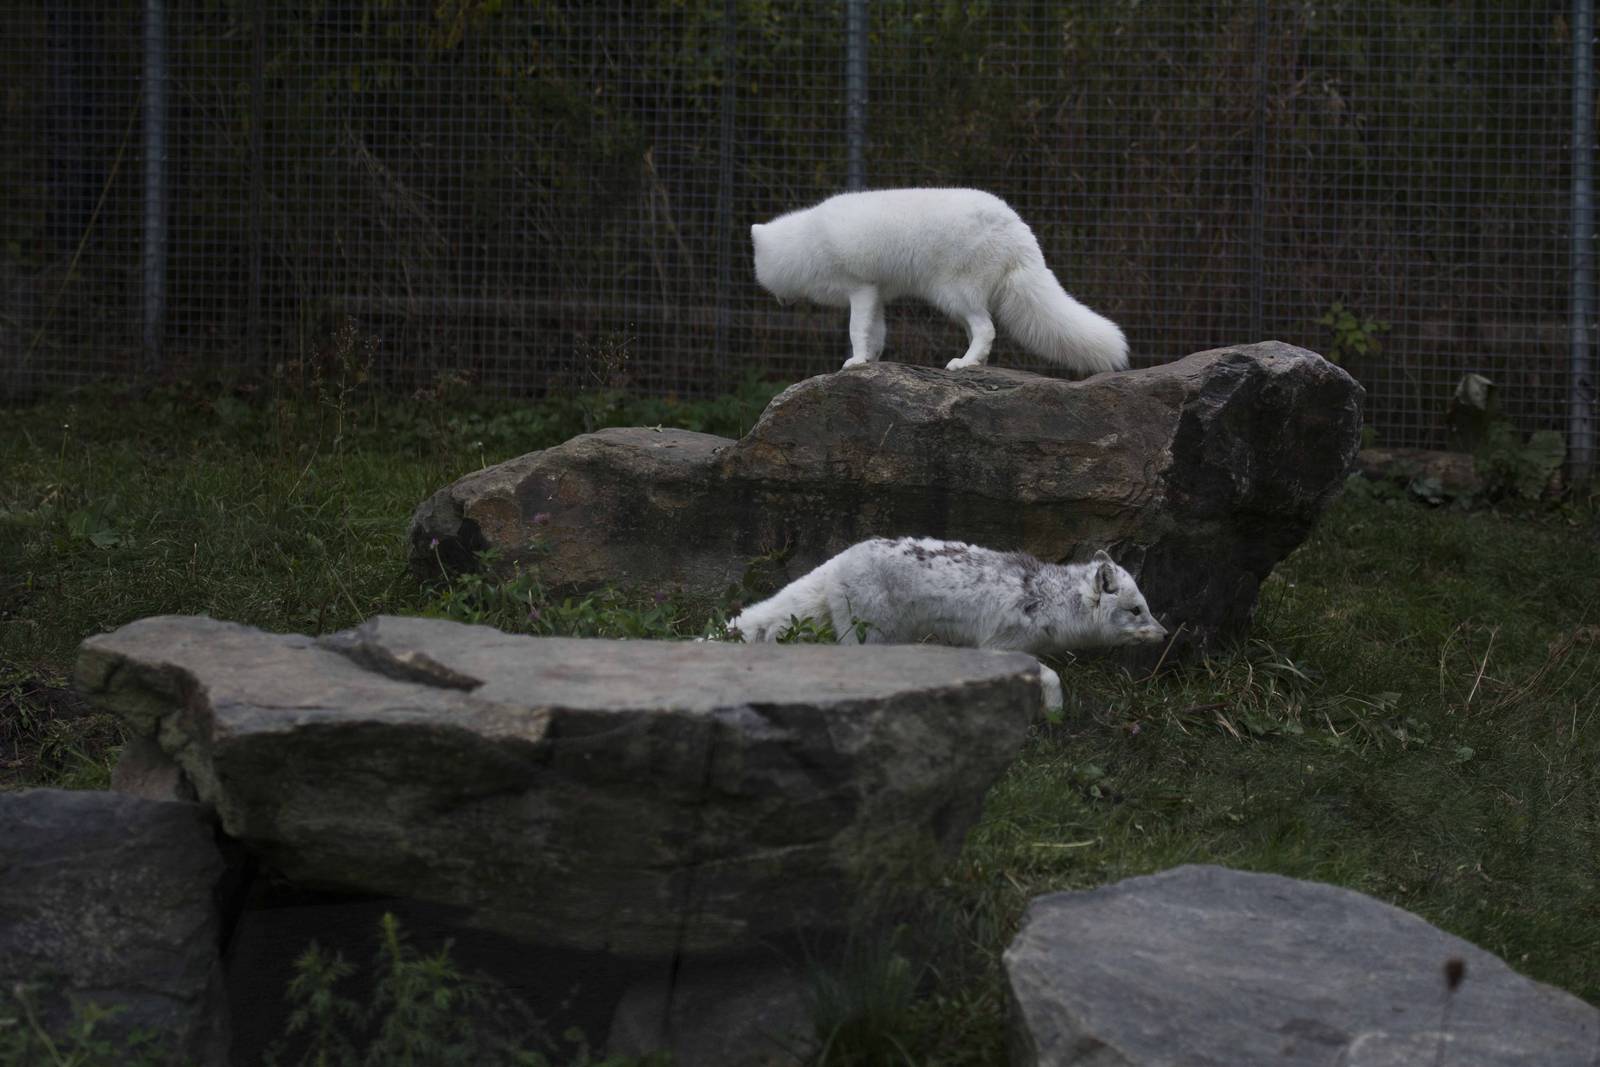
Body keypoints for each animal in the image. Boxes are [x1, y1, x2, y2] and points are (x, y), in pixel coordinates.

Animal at [728, 537, 1168, 711]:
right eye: (1136, 611)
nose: (1165, 634)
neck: (1051, 599)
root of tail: (838, 559)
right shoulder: (997, 647)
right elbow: (1051, 676)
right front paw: (1056, 711)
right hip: (873, 639)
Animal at [749, 188, 1129, 376]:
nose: (780, 302)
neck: (807, 242)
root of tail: (1019, 230)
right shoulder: (876, 294)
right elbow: (877, 332)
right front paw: (870, 360)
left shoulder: (860, 288)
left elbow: (856, 330)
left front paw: (855, 361)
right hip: (955, 301)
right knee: (981, 332)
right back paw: (976, 363)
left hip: (955, 295)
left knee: (987, 328)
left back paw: (964, 363)